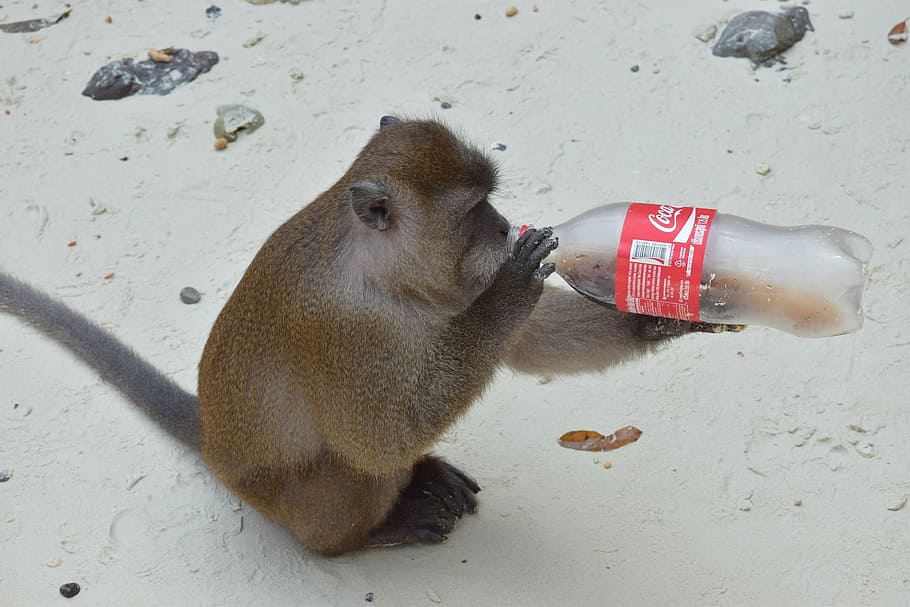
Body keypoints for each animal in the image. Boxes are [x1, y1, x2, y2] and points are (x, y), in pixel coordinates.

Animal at [0, 116, 725, 555]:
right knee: (353, 471)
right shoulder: (342, 330)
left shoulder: (453, 286)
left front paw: (663, 310)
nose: (503, 225)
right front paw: (515, 289)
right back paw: (368, 532)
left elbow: (527, 339)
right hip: (290, 503)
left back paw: (424, 474)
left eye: (490, 201)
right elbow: (375, 440)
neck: (384, 275)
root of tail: (212, 441)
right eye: (474, 210)